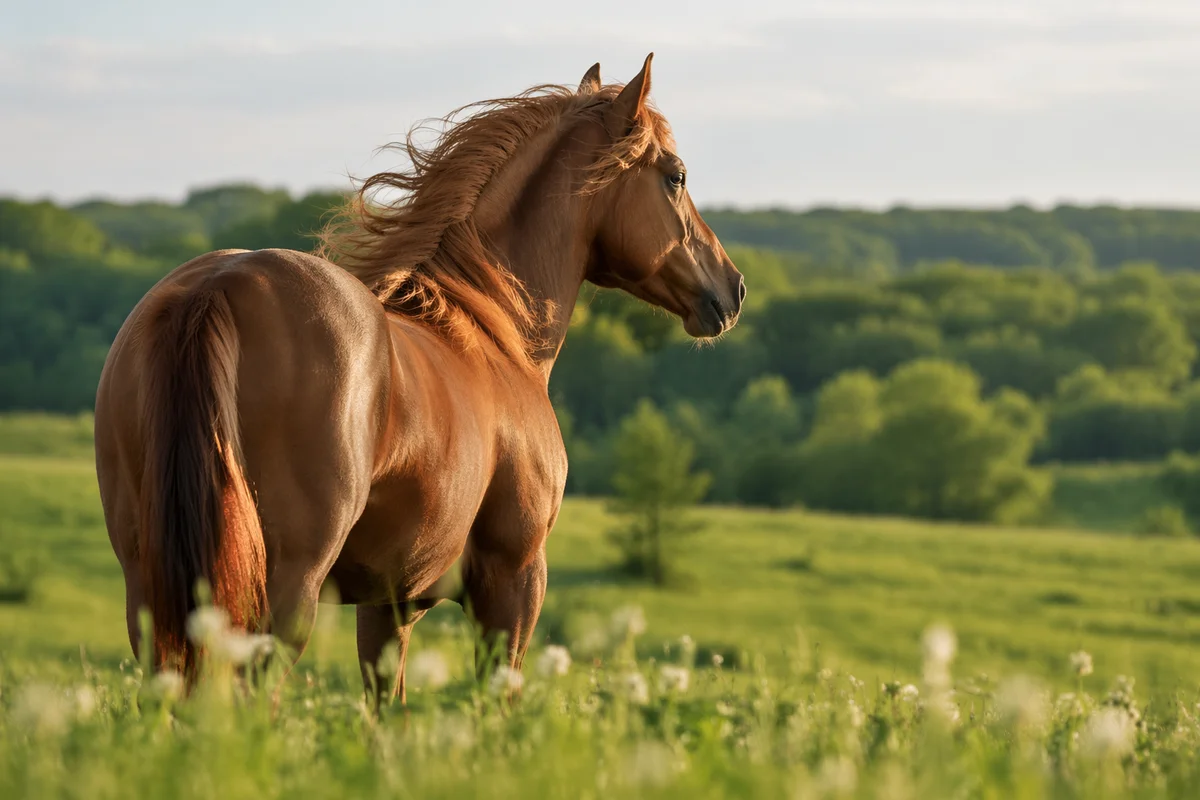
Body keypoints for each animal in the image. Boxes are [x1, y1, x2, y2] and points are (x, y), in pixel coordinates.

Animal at [94, 54, 745, 705]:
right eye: (676, 176)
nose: (732, 289)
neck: (493, 329)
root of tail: (216, 285)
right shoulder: (513, 581)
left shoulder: (387, 605)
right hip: (283, 589)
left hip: (152, 589)